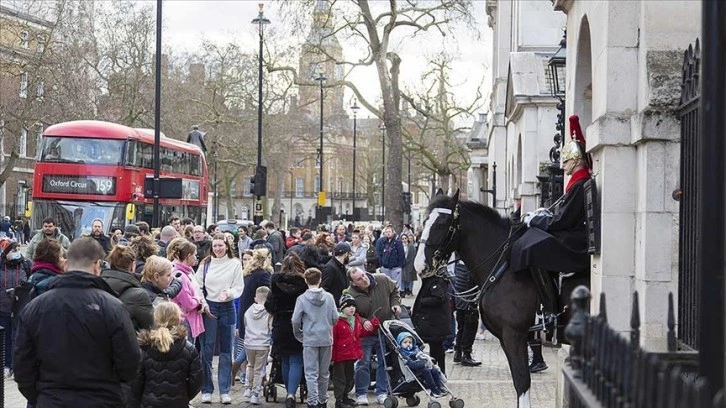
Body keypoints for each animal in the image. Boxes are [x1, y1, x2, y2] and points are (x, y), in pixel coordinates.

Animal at [416, 191, 592, 408]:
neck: (502, 268)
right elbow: (518, 382)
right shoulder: (505, 338)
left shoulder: (514, 335)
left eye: (441, 224)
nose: (420, 265)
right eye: (424, 221)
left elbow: (522, 381)